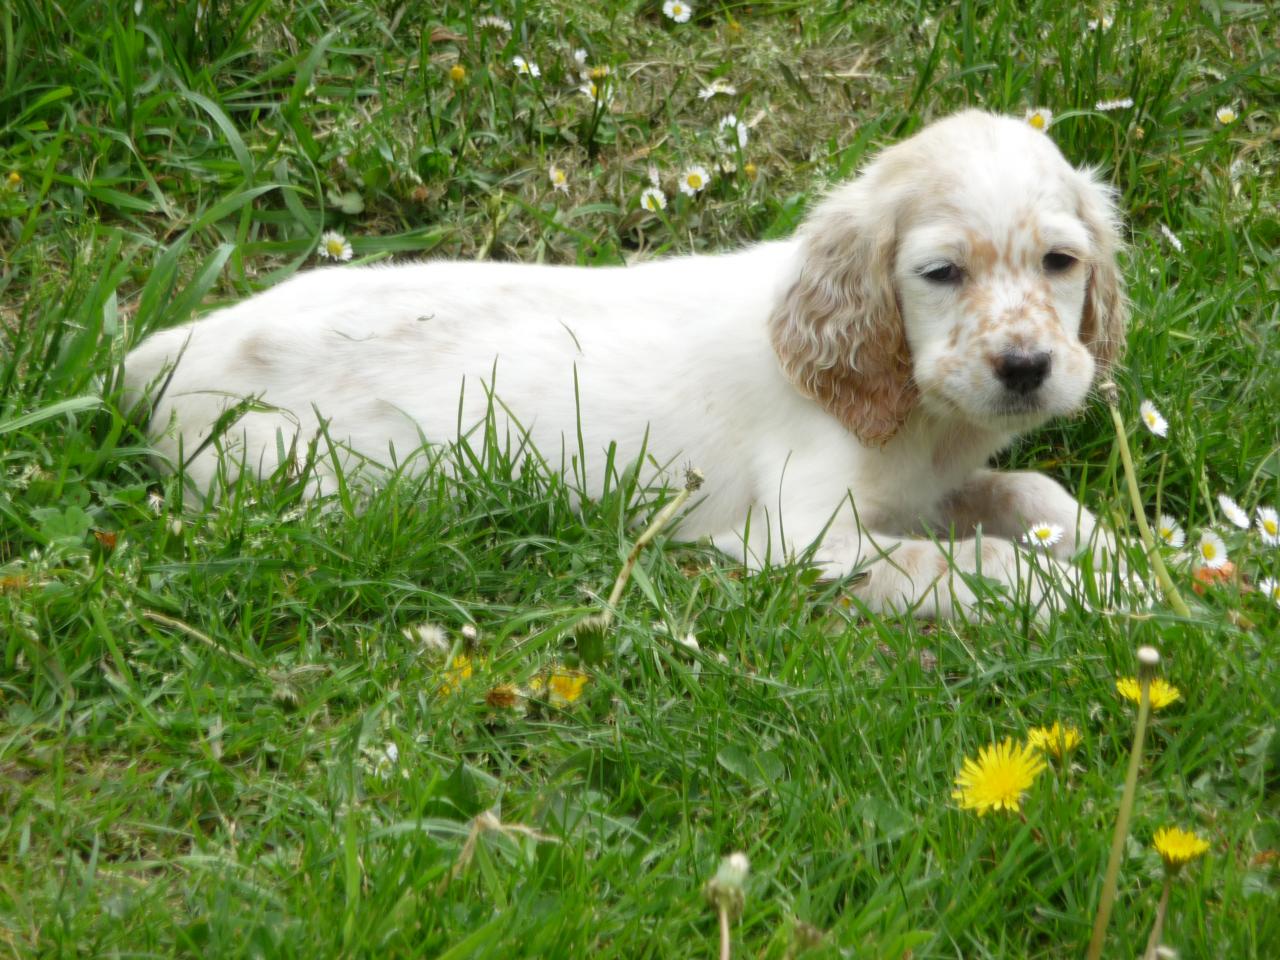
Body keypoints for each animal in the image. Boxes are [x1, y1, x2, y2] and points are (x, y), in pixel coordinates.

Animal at [124, 110, 1126, 618]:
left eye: (1060, 262)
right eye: (941, 273)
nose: (1028, 367)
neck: (915, 414)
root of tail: (167, 350)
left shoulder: (928, 489)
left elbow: (1030, 491)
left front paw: (1131, 553)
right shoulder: (796, 540)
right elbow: (971, 564)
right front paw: (1098, 591)